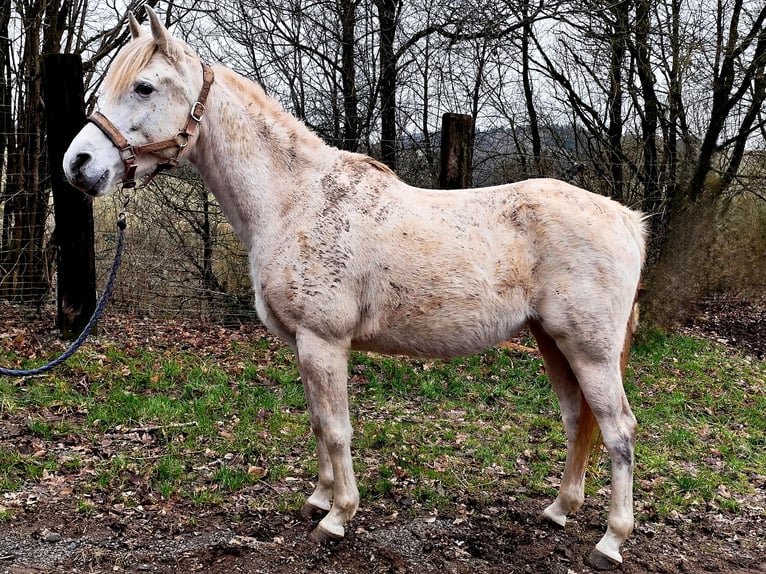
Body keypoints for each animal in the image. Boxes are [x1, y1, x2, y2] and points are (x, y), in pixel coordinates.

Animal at [63, 7, 648, 572]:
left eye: (143, 86)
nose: (79, 165)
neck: (293, 200)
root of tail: (627, 219)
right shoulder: (304, 345)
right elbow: (320, 424)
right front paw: (320, 500)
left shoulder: (324, 342)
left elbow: (338, 428)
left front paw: (338, 518)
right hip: (553, 342)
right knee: (577, 420)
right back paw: (558, 509)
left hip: (590, 351)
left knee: (618, 430)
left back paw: (611, 541)